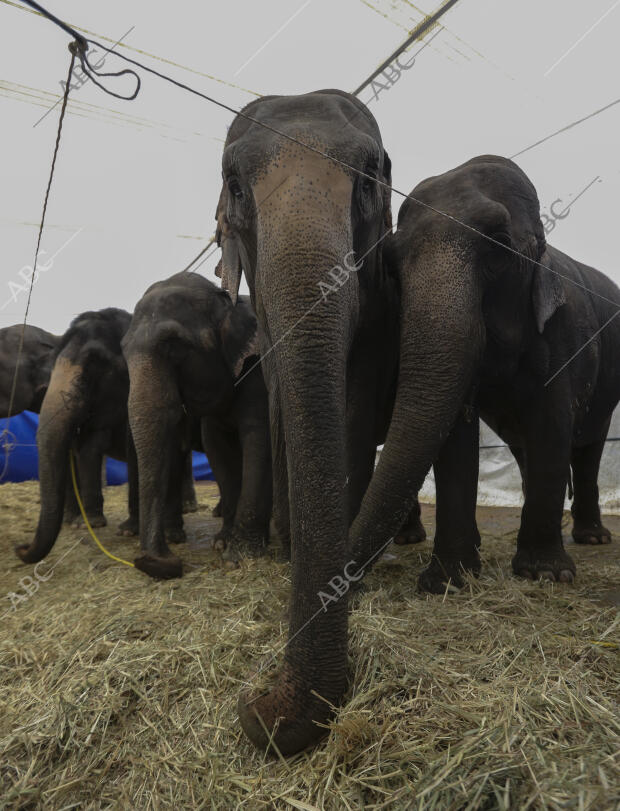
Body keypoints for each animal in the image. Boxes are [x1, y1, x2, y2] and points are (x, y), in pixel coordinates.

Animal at [122, 276, 272, 580]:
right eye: (123, 349)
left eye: (173, 345)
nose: (153, 561)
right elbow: (216, 447)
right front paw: (221, 542)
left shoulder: (258, 371)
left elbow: (258, 439)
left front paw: (237, 557)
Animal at [216, 92, 404, 760]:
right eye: (235, 186)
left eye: (370, 179)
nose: (254, 703)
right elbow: (280, 393)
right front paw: (283, 547)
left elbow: (353, 405)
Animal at [348, 155, 620, 592]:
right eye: (390, 262)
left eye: (500, 247)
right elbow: (457, 436)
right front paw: (447, 582)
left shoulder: (561, 335)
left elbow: (552, 424)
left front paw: (546, 574)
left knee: (588, 444)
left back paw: (592, 538)